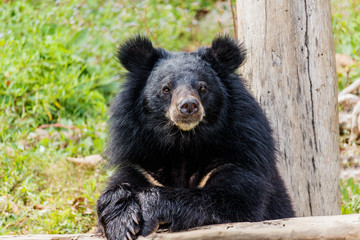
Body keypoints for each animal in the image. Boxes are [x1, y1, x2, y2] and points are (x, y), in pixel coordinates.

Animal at [97, 35, 294, 240]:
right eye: (166, 88)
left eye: (203, 87)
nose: (188, 105)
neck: (184, 143)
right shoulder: (141, 164)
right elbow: (116, 188)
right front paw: (122, 225)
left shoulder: (239, 153)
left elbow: (232, 200)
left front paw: (148, 210)